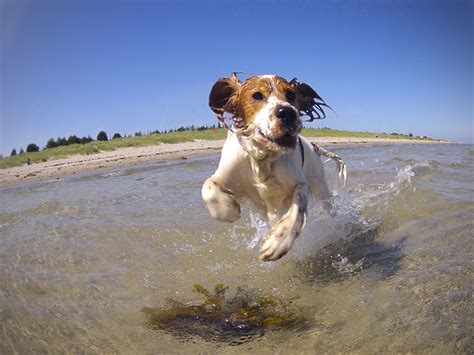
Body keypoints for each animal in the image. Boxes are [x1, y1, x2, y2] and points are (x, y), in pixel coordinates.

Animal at [202, 73, 346, 262]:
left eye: (291, 95)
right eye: (257, 95)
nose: (287, 112)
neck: (263, 158)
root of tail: (315, 146)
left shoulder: (300, 184)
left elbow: (297, 207)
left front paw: (278, 242)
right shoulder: (227, 175)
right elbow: (208, 186)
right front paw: (227, 210)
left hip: (320, 186)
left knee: (329, 210)